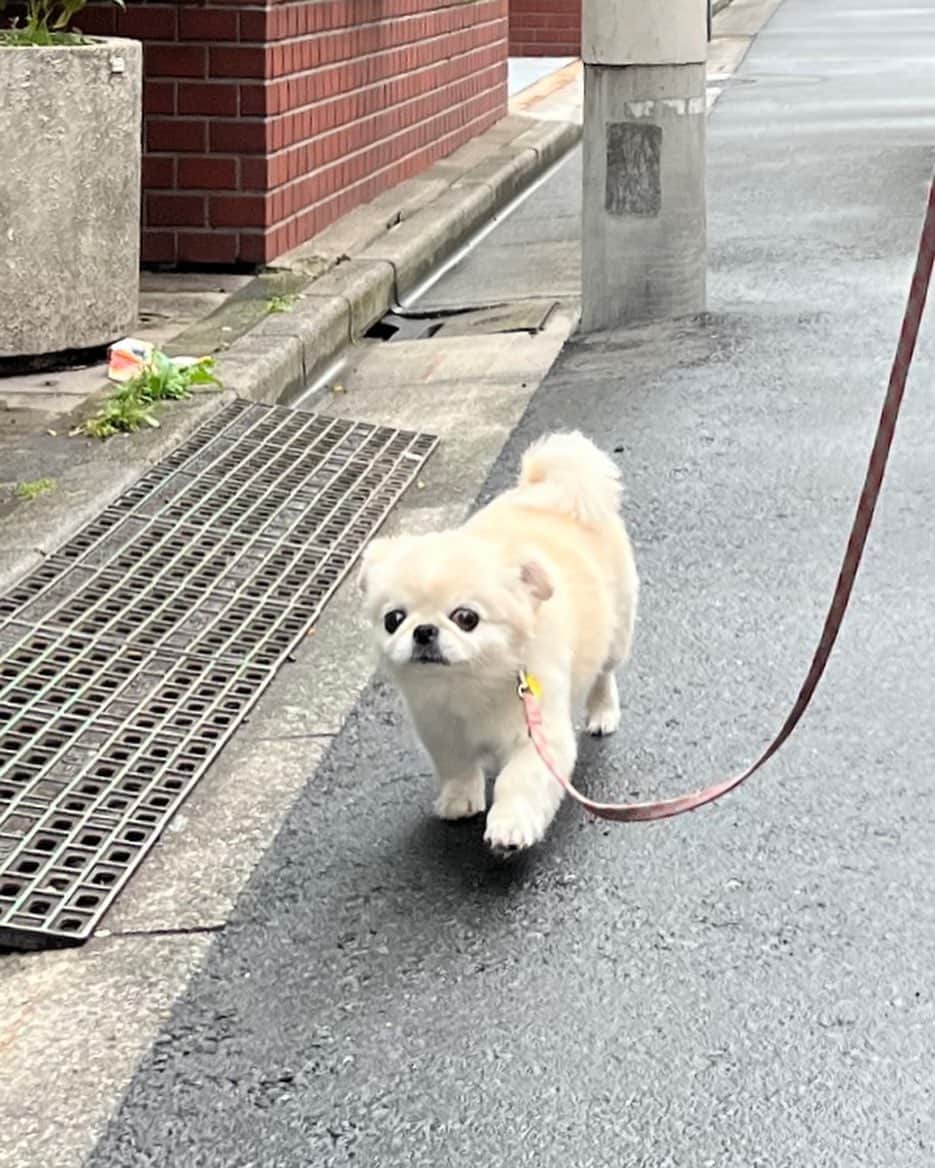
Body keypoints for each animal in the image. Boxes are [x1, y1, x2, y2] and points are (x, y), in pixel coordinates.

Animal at [354, 434, 635, 854]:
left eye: (466, 618)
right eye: (394, 620)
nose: (424, 631)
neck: (469, 686)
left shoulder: (537, 735)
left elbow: (518, 781)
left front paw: (510, 827)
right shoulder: (440, 730)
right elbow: (456, 767)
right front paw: (459, 800)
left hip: (616, 633)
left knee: (604, 675)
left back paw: (602, 713)